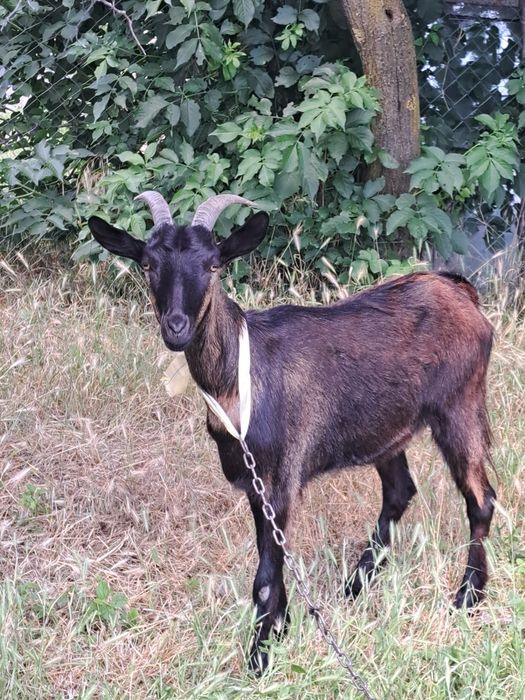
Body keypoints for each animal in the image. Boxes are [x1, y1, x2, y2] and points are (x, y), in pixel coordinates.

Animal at [88, 192, 496, 673]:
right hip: (386, 429)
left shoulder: (281, 477)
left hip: (459, 405)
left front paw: (260, 656)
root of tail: (461, 292)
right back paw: (355, 585)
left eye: (213, 264)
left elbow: (266, 574)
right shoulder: (254, 484)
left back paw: (467, 596)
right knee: (400, 491)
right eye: (148, 263)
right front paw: (281, 628)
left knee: (481, 499)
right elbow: (272, 558)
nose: (176, 327)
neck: (239, 377)